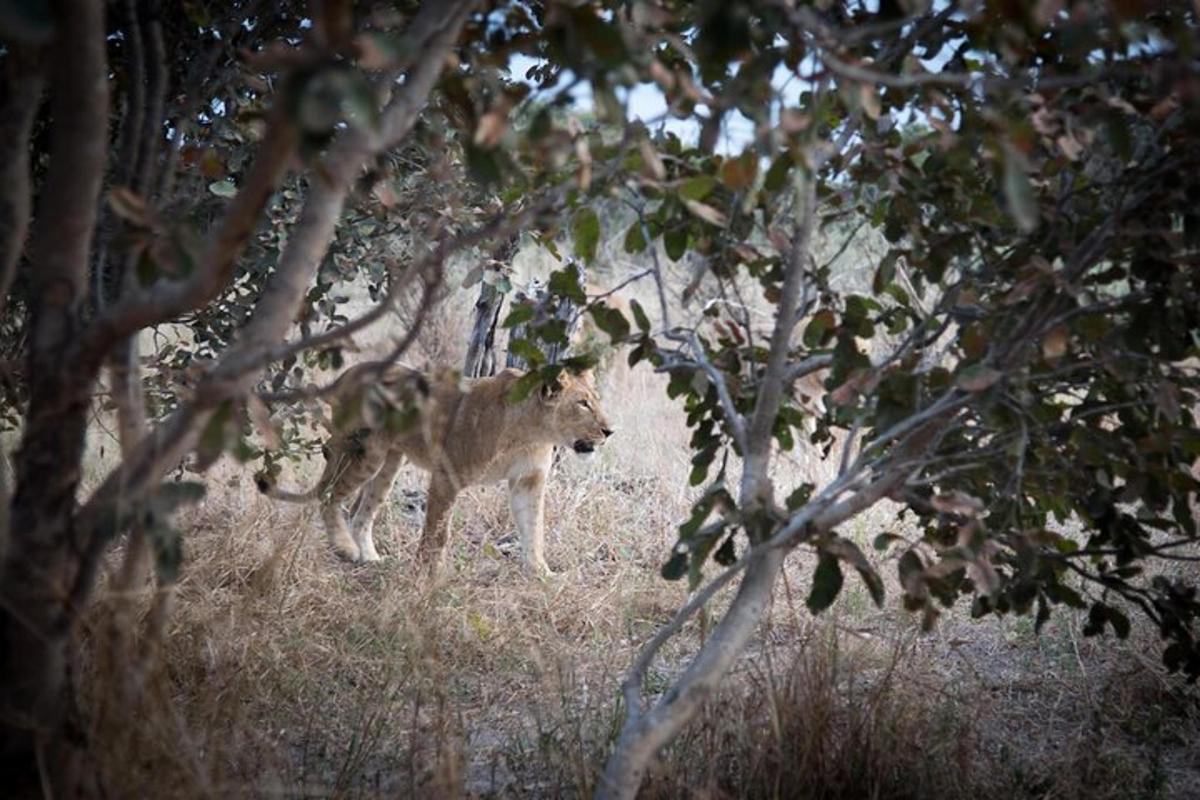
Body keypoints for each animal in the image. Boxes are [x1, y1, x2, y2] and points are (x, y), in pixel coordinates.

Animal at [258, 362, 614, 575]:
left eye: (595, 399)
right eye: (583, 403)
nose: (609, 431)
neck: (531, 431)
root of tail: (347, 374)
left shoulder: (528, 481)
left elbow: (533, 527)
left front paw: (541, 572)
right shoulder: (448, 475)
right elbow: (437, 531)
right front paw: (428, 574)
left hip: (389, 462)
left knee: (362, 513)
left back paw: (371, 558)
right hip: (363, 452)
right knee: (330, 498)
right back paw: (345, 548)